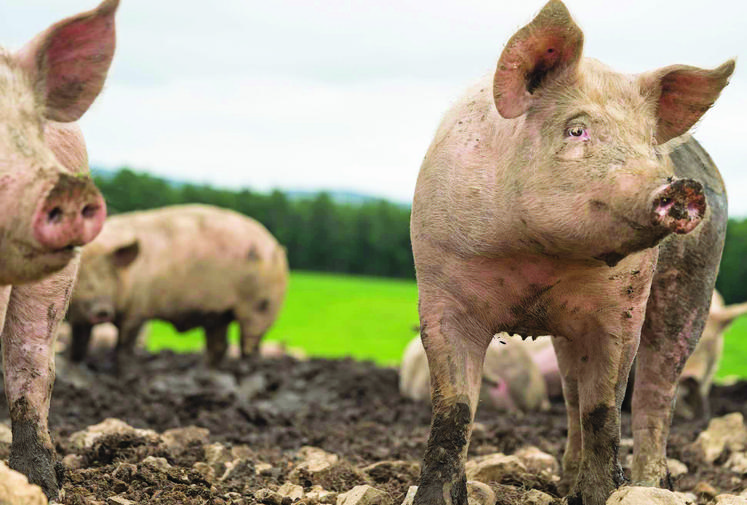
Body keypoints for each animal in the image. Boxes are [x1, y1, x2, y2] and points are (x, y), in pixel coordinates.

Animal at [67, 203, 290, 368]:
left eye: (107, 274)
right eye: (79, 277)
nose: (101, 310)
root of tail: (276, 247)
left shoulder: (139, 309)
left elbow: (124, 346)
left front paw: (122, 371)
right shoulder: (79, 319)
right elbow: (78, 344)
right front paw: (76, 366)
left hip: (261, 306)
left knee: (250, 344)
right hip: (220, 314)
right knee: (219, 345)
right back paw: (208, 372)